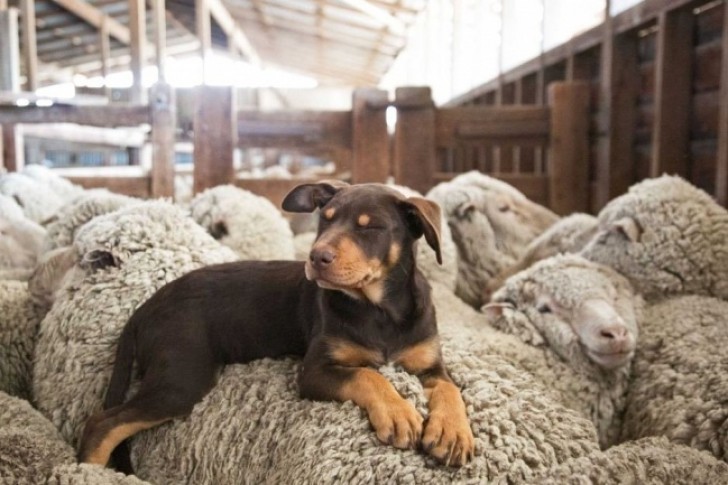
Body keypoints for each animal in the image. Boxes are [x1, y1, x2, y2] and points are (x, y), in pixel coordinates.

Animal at [79, 181, 474, 468]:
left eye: (371, 227)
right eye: (326, 219)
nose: (316, 257)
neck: (380, 310)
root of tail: (145, 308)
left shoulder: (430, 364)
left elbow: (450, 389)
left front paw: (452, 433)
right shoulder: (315, 371)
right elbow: (368, 375)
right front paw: (398, 413)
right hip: (182, 377)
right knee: (102, 423)